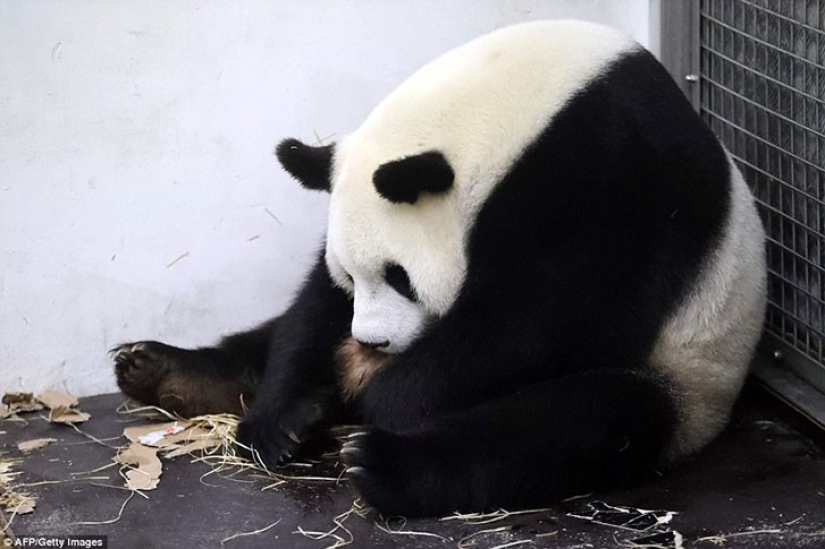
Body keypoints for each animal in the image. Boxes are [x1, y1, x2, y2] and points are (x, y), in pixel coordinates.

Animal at [113, 20, 767, 516]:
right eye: (352, 277)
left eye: (399, 276)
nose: (370, 342)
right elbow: (312, 310)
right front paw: (285, 416)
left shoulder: (616, 173)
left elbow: (546, 314)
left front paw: (388, 396)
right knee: (265, 338)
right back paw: (162, 370)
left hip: (686, 376)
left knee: (577, 425)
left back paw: (383, 464)